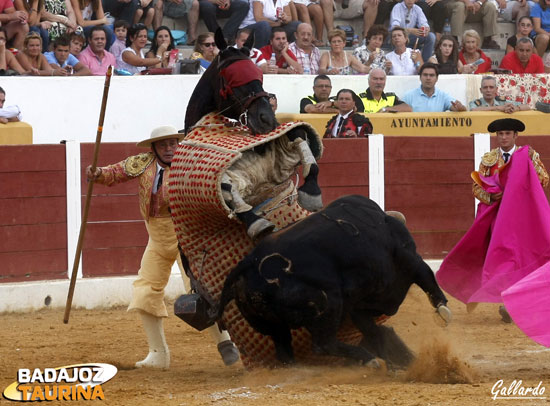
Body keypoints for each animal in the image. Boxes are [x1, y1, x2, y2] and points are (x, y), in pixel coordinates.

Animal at [219, 194, 452, 368]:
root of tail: (248, 264)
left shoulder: (360, 307)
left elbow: (373, 331)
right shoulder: (411, 260)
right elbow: (429, 282)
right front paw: (444, 313)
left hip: (271, 324)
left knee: (284, 349)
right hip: (327, 303)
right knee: (323, 344)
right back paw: (369, 360)